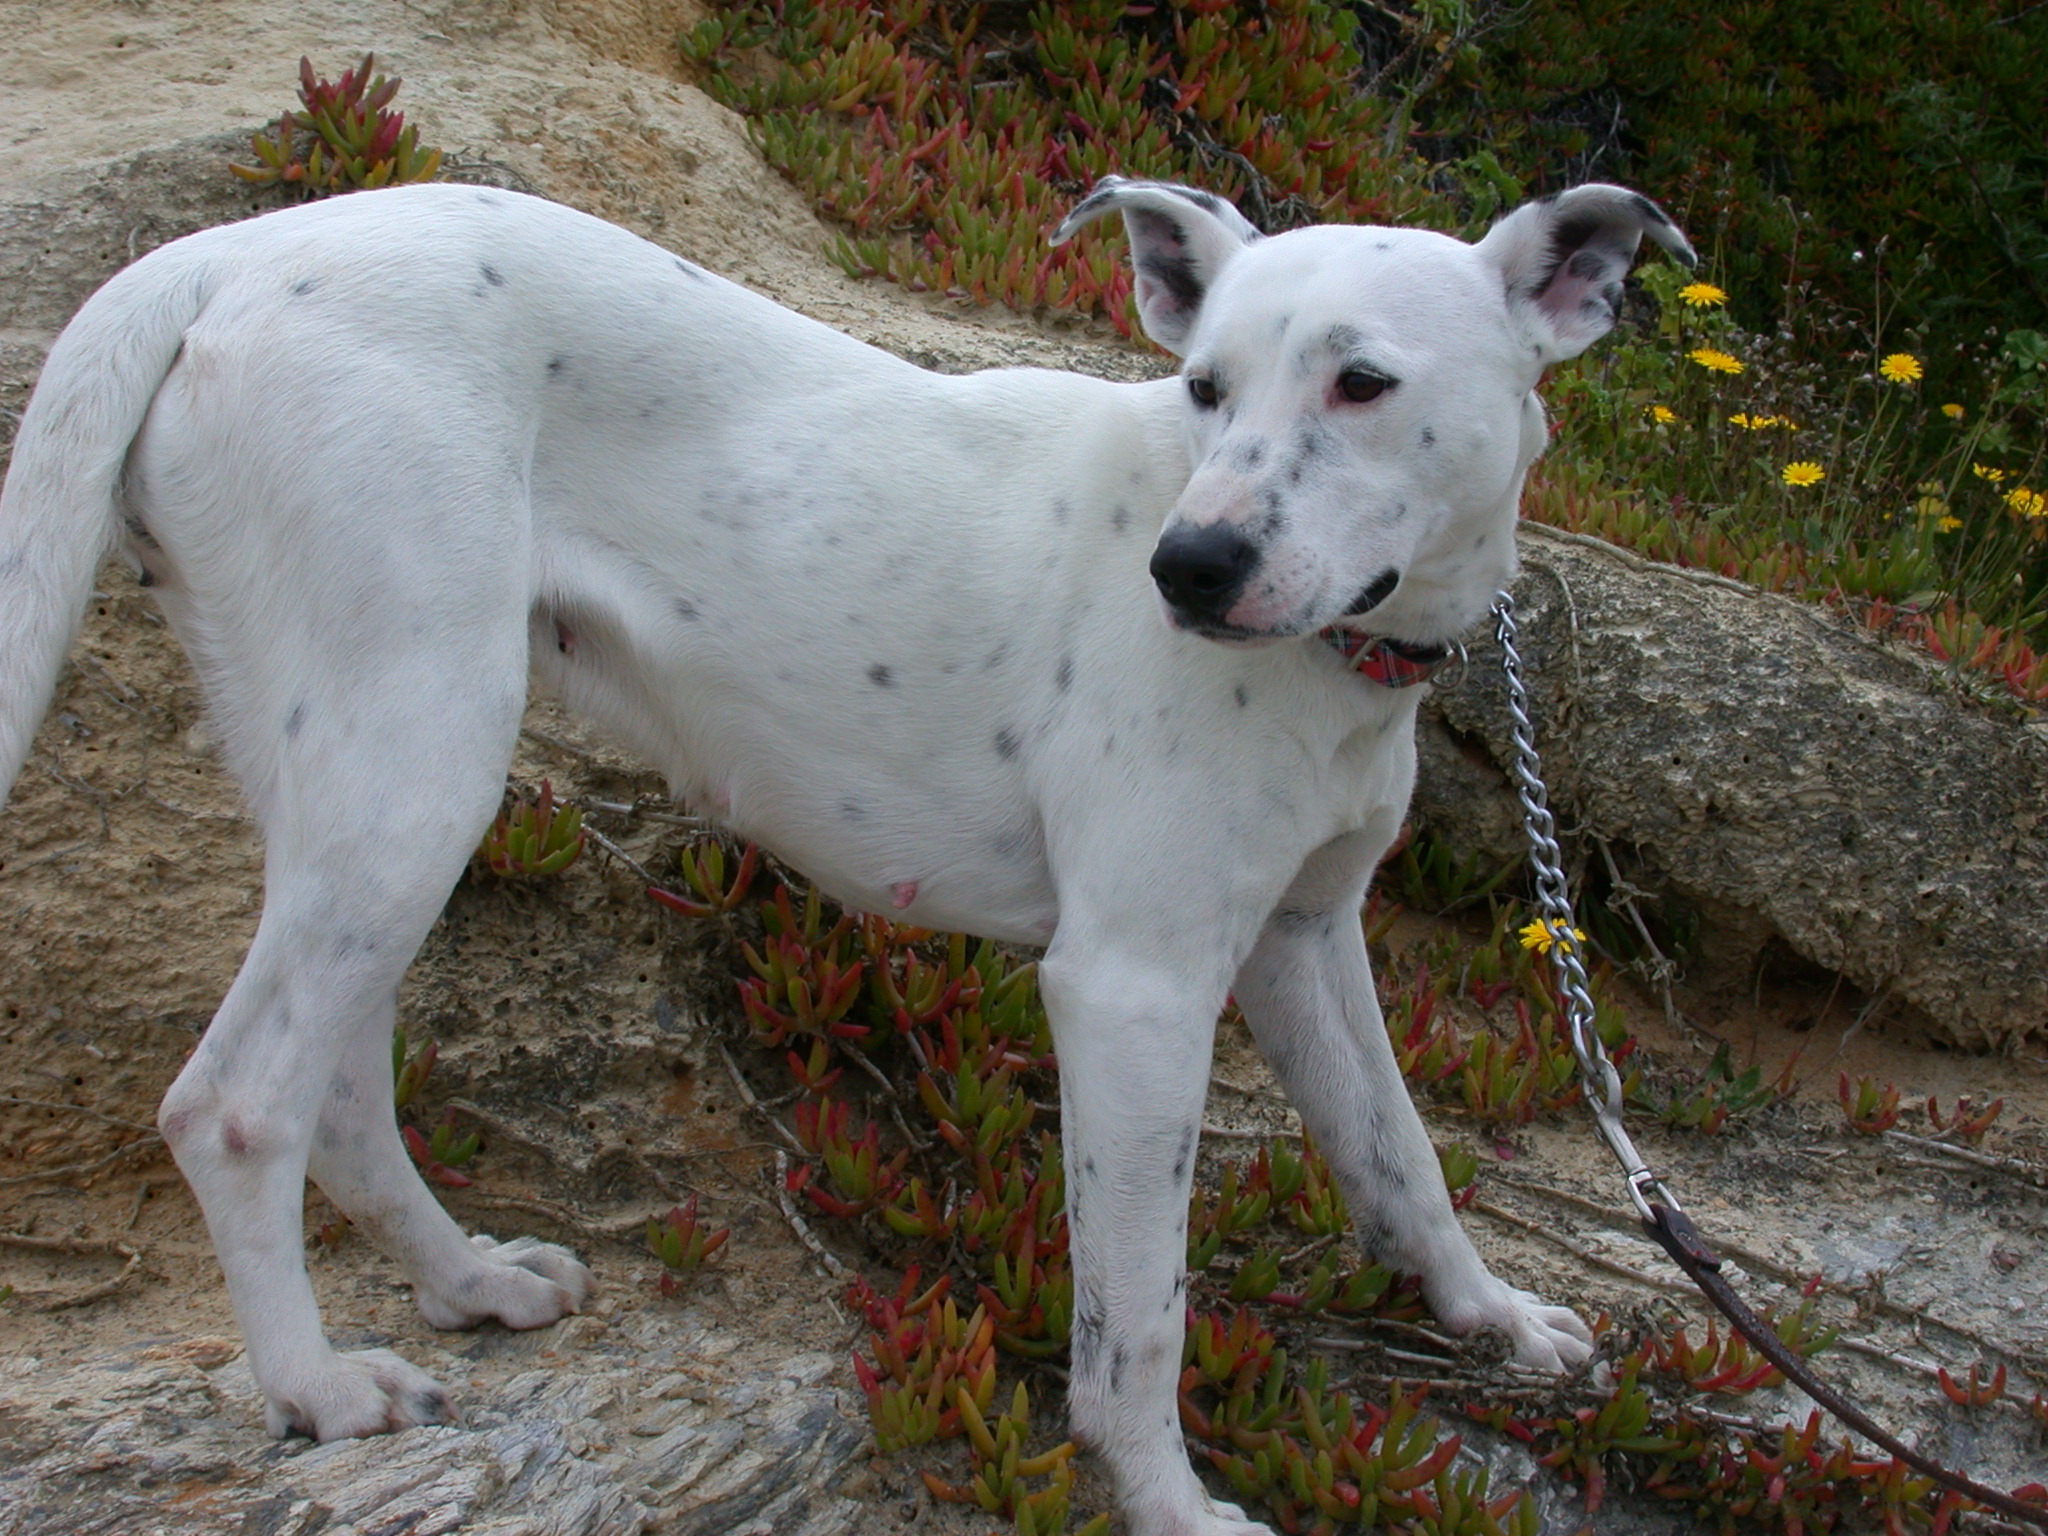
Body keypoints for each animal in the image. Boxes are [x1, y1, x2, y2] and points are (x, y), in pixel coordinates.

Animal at [0, 175, 1691, 1535]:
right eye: (1205, 386)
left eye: (1362, 383)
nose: (1188, 570)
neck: (1349, 659)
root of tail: (225, 252)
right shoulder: (1132, 993)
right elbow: (1137, 1317)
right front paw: (1167, 1504)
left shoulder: (1303, 944)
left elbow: (1401, 1155)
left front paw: (1489, 1317)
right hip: (418, 767)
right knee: (234, 1107)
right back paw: (315, 1388)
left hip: (360, 792)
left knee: (339, 1093)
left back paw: (467, 1284)